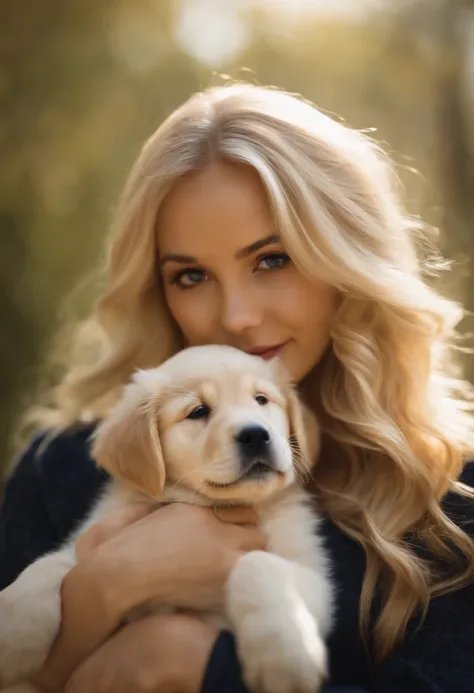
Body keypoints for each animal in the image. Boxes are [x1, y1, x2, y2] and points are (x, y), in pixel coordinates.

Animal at [0, 346, 334, 692]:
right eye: (198, 411)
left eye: (261, 399)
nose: (255, 435)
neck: (215, 504)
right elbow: (53, 562)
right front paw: (14, 629)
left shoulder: (316, 578)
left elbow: (260, 563)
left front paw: (284, 654)